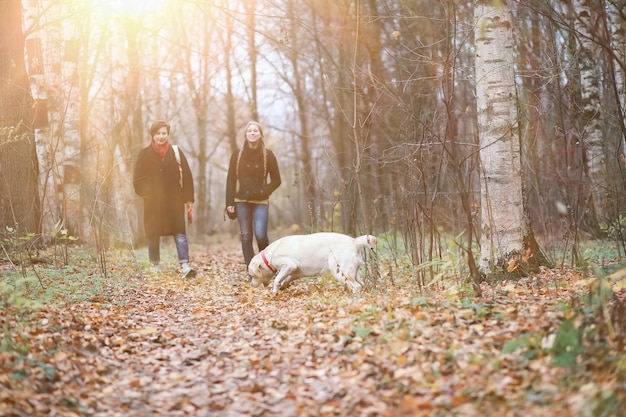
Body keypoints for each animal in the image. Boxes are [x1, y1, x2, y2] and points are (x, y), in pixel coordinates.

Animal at [247, 231, 376, 296]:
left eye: (252, 275)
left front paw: (274, 291)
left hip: (340, 271)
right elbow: (287, 279)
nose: (251, 284)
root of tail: (353, 241)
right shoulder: (295, 272)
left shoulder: (289, 265)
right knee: (361, 284)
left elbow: (277, 279)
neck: (270, 254)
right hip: (354, 273)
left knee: (356, 286)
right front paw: (283, 286)